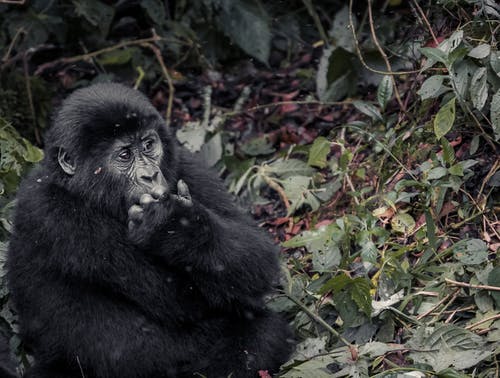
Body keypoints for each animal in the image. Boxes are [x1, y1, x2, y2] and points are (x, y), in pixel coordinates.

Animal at [6, 83, 292, 378]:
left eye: (148, 145)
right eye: (124, 155)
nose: (150, 175)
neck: (78, 190)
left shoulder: (185, 164)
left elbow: (256, 255)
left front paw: (179, 227)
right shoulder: (53, 213)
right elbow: (177, 297)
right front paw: (173, 227)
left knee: (264, 332)